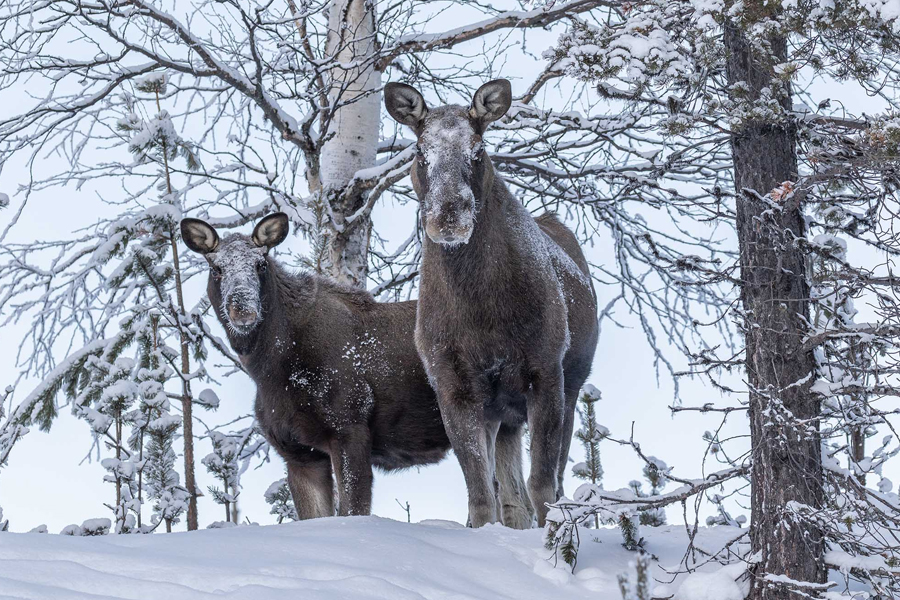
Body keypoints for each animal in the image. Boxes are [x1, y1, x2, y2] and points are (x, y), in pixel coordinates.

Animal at [180, 213, 534, 526]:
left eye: (261, 264)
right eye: (215, 267)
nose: (243, 309)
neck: (269, 371)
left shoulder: (350, 427)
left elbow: (352, 509)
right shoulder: (298, 452)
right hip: (508, 422)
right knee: (517, 501)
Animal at [385, 79, 599, 527]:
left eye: (478, 150)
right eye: (419, 152)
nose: (449, 215)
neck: (481, 311)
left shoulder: (545, 371)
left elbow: (543, 487)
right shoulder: (454, 385)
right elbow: (482, 497)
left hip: (570, 385)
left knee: (549, 483)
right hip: (502, 411)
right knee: (509, 492)